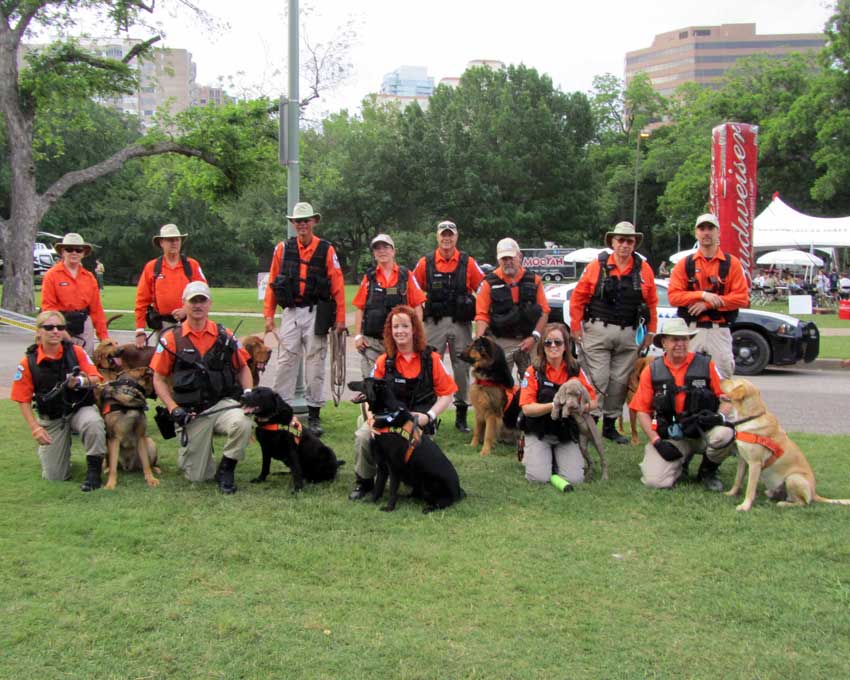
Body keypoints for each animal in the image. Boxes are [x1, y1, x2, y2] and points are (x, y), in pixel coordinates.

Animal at [344, 378, 464, 516]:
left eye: (364, 382)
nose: (348, 383)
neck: (387, 414)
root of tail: (458, 491)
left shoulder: (394, 467)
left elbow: (392, 489)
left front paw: (389, 508)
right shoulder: (382, 465)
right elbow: (378, 486)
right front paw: (372, 501)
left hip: (428, 485)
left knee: (443, 502)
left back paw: (429, 508)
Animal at [716, 378, 848, 510]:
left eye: (732, 381)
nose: (721, 379)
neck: (751, 418)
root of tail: (814, 493)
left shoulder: (755, 463)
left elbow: (750, 488)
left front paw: (745, 506)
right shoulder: (743, 460)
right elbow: (737, 480)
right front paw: (731, 493)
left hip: (793, 478)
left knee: (802, 503)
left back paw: (783, 504)